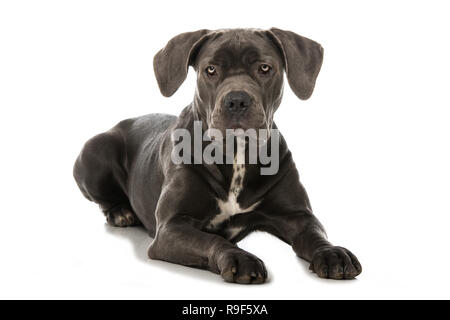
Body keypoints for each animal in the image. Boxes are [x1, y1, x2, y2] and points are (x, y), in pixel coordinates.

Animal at [74, 26, 362, 282]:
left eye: (264, 68)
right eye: (210, 70)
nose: (237, 100)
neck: (237, 154)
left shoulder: (297, 216)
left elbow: (315, 234)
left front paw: (333, 253)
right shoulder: (172, 227)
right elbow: (211, 239)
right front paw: (240, 258)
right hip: (95, 151)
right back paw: (120, 212)